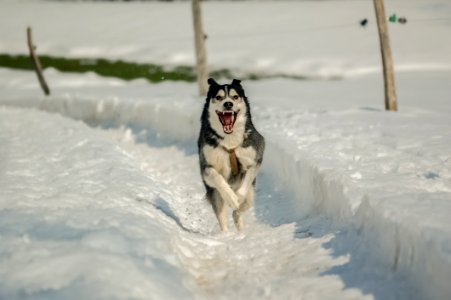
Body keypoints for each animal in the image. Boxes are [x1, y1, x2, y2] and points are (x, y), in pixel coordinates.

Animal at [198, 78, 264, 232]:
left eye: (235, 97)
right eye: (218, 97)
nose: (228, 104)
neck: (229, 141)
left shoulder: (255, 157)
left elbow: (247, 178)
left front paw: (238, 197)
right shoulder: (206, 166)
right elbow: (216, 177)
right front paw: (232, 198)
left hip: (251, 195)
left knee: (239, 210)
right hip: (215, 195)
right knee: (222, 217)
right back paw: (227, 234)